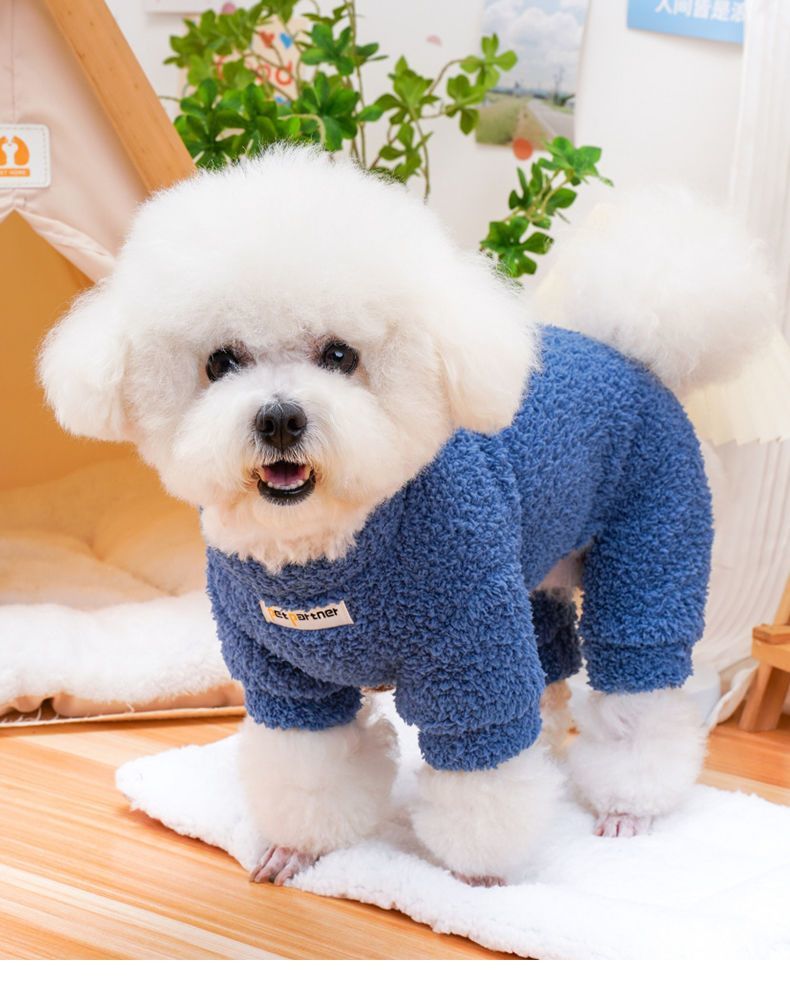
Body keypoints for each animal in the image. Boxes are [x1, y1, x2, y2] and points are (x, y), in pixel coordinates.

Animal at [40, 146, 774, 886]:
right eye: (220, 362)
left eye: (340, 355)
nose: (279, 419)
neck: (326, 555)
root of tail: (631, 352)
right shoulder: (285, 680)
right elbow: (310, 766)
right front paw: (299, 847)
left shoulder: (468, 649)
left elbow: (481, 765)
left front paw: (482, 875)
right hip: (531, 573)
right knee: (550, 666)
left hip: (653, 539)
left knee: (638, 681)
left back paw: (630, 804)